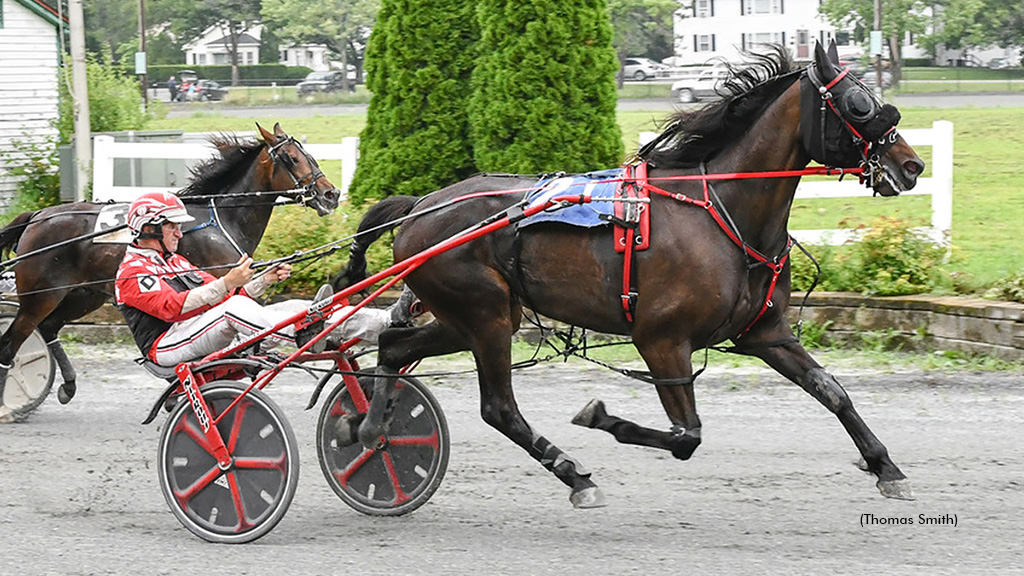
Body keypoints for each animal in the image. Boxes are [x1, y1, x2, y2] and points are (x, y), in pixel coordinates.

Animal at [0, 121, 344, 416]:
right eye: (292, 158)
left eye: (308, 154)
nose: (332, 194)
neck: (220, 218)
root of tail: (36, 217)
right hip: (41, 297)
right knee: (11, 344)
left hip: (83, 296)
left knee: (48, 328)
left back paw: (68, 386)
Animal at [339, 42, 925, 504]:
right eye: (858, 103)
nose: (912, 165)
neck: (721, 212)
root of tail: (422, 204)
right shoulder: (661, 339)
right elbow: (686, 435)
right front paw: (600, 417)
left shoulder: (764, 332)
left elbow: (833, 391)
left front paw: (885, 466)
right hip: (484, 317)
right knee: (498, 408)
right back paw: (573, 474)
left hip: (472, 316)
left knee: (394, 347)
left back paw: (365, 426)